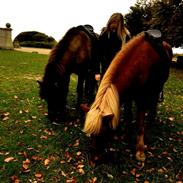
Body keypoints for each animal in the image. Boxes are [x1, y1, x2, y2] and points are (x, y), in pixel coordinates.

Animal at [83, 29, 173, 161]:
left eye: (103, 132)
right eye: (91, 135)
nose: (94, 159)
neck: (139, 63)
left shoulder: (141, 100)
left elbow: (140, 125)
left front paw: (140, 151)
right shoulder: (129, 97)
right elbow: (128, 116)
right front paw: (126, 135)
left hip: (158, 86)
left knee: (154, 103)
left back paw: (151, 120)